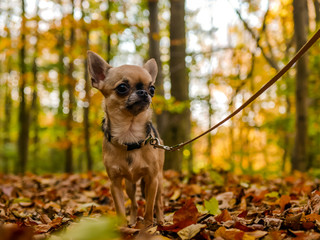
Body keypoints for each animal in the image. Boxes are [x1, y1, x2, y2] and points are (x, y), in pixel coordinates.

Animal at [87, 50, 165, 225]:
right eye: (122, 87)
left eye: (152, 89)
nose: (144, 92)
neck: (129, 134)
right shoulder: (115, 183)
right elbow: (120, 209)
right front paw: (123, 226)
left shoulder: (152, 179)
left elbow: (149, 208)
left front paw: (148, 226)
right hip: (130, 185)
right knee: (135, 204)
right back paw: (133, 222)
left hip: (159, 180)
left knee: (158, 203)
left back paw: (161, 222)